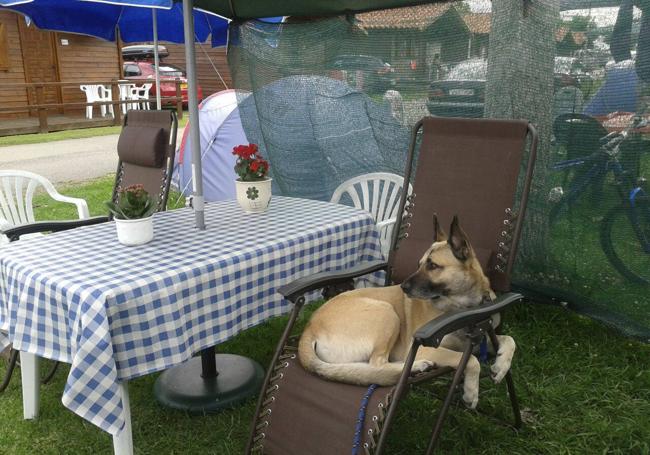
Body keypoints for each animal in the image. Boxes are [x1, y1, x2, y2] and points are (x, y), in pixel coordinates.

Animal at [298, 216, 516, 408]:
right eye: (419, 264)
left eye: (433, 265)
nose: (403, 287)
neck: (463, 306)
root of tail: (309, 328)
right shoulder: (427, 348)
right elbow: (471, 359)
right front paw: (471, 392)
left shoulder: (482, 338)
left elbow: (509, 340)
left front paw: (501, 366)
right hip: (387, 313)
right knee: (378, 364)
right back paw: (417, 366)